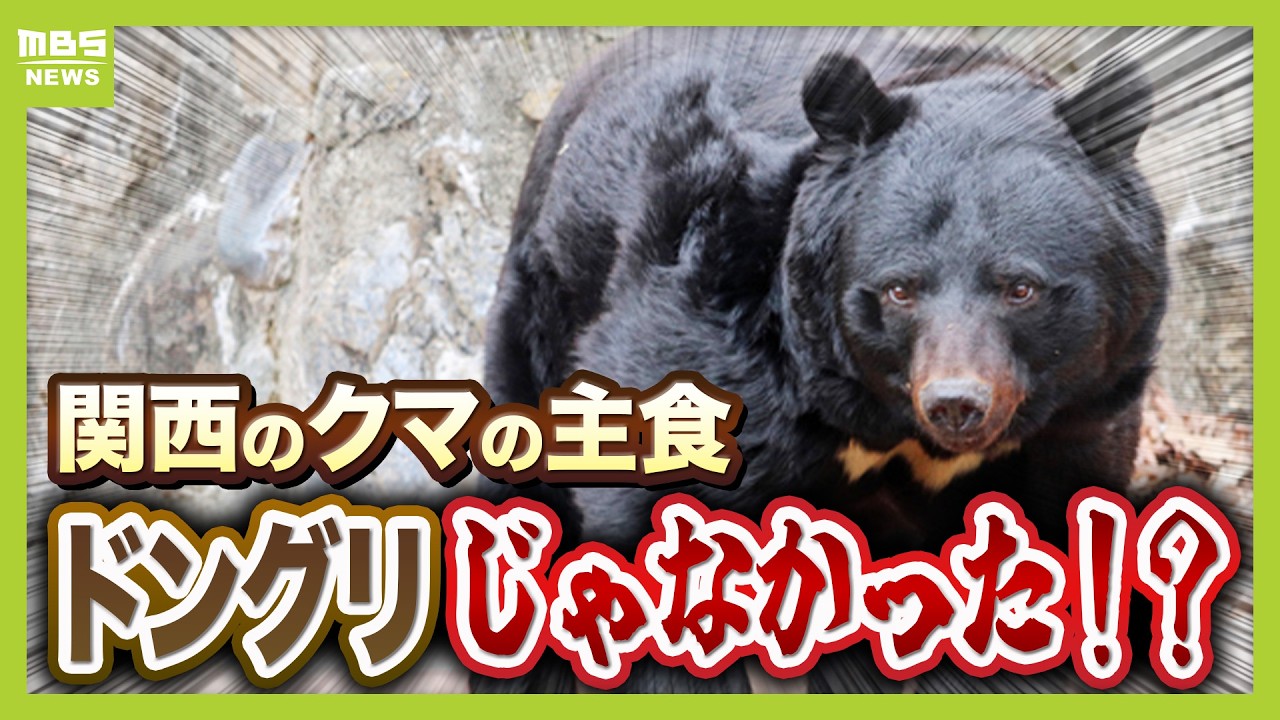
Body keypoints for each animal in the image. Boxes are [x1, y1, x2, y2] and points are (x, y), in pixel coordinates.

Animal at [479, 27, 1167, 691]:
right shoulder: (719, 323)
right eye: (899, 289)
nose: (956, 404)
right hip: (545, 303)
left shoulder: (1079, 410)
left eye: (1021, 288)